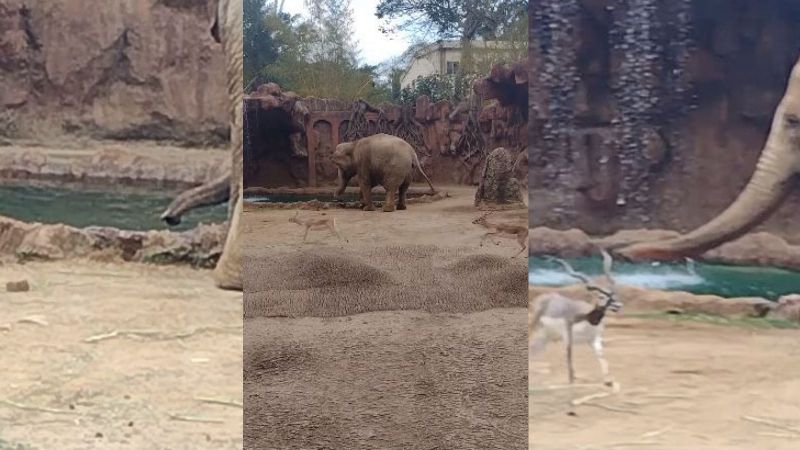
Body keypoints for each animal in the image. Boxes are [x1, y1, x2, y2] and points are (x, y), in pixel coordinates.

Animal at [529, 249, 622, 413]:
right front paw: (571, 405)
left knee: (533, 352)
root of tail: (547, 296)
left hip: (546, 338)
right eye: (601, 295)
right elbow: (571, 371)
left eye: (614, 293)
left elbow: (603, 361)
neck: (586, 318)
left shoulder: (594, 340)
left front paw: (609, 383)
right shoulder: (569, 339)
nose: (618, 305)